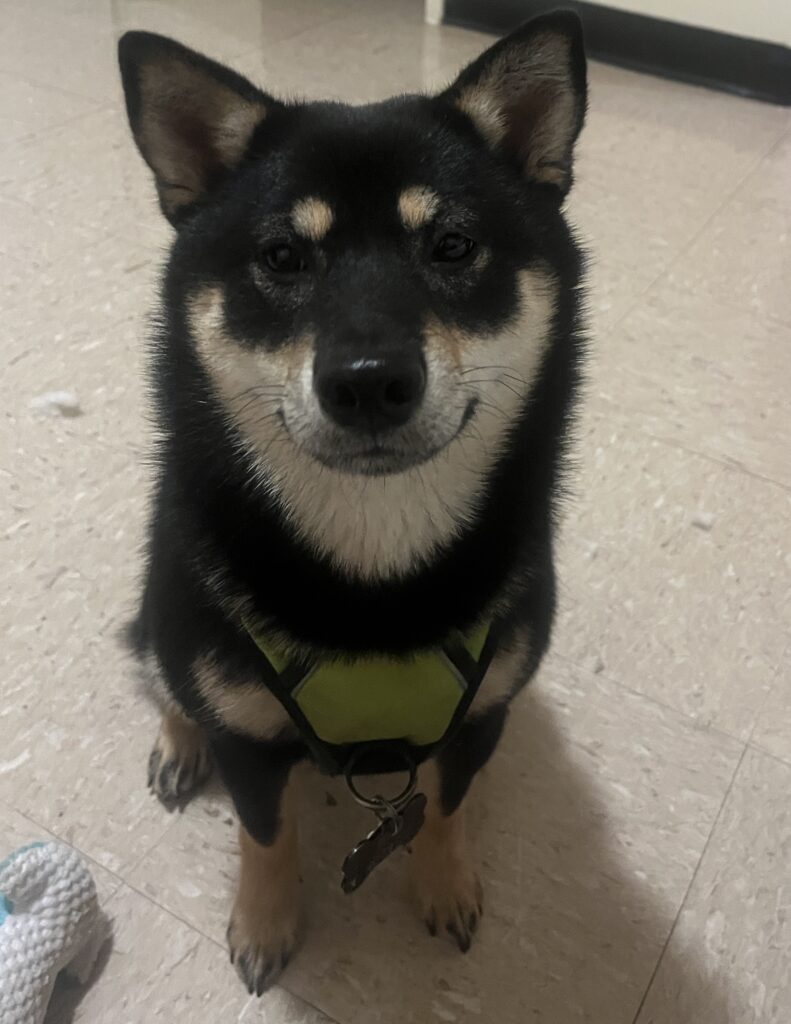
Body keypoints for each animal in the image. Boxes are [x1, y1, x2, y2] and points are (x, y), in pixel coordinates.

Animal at [118, 11, 587, 995]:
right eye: (283, 256)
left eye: (451, 246)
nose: (368, 382)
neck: (374, 572)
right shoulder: (249, 742)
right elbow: (265, 835)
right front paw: (264, 925)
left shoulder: (481, 713)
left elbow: (446, 805)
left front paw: (445, 885)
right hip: (165, 602)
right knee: (161, 670)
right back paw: (179, 743)